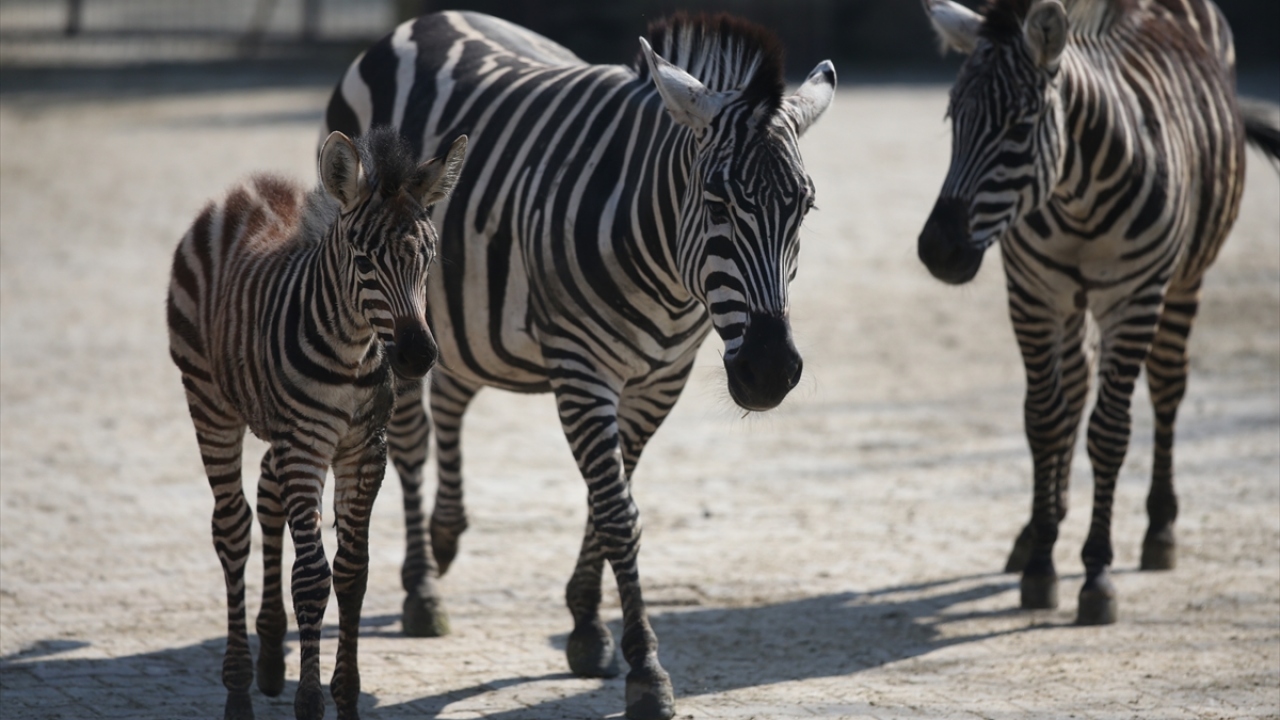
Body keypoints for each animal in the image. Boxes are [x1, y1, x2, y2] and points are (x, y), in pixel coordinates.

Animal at [167, 127, 467, 720]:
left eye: (428, 257)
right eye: (364, 261)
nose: (418, 357)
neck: (351, 353)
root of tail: (244, 192)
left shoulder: (363, 449)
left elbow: (352, 574)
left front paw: (345, 697)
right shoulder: (305, 444)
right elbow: (311, 578)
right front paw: (310, 700)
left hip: (280, 428)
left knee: (266, 494)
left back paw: (269, 654)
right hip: (209, 401)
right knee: (231, 528)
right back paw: (238, 690)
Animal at [322, 11, 834, 719]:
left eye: (804, 208)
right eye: (716, 203)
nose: (769, 371)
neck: (669, 273)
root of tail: (428, 20)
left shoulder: (658, 382)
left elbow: (609, 497)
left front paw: (588, 623)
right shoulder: (581, 373)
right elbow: (619, 513)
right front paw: (645, 669)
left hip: (461, 309)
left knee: (453, 393)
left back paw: (447, 535)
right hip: (387, 311)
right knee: (411, 436)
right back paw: (423, 589)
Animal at [918, 0, 1280, 625]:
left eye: (1020, 127)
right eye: (951, 118)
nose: (937, 250)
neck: (1076, 194)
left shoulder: (1133, 299)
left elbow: (1110, 432)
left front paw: (1097, 573)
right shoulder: (1034, 294)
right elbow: (1044, 419)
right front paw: (1042, 558)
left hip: (1184, 278)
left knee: (1167, 386)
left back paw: (1160, 529)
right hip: (1071, 303)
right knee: (1075, 388)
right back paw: (1038, 527)